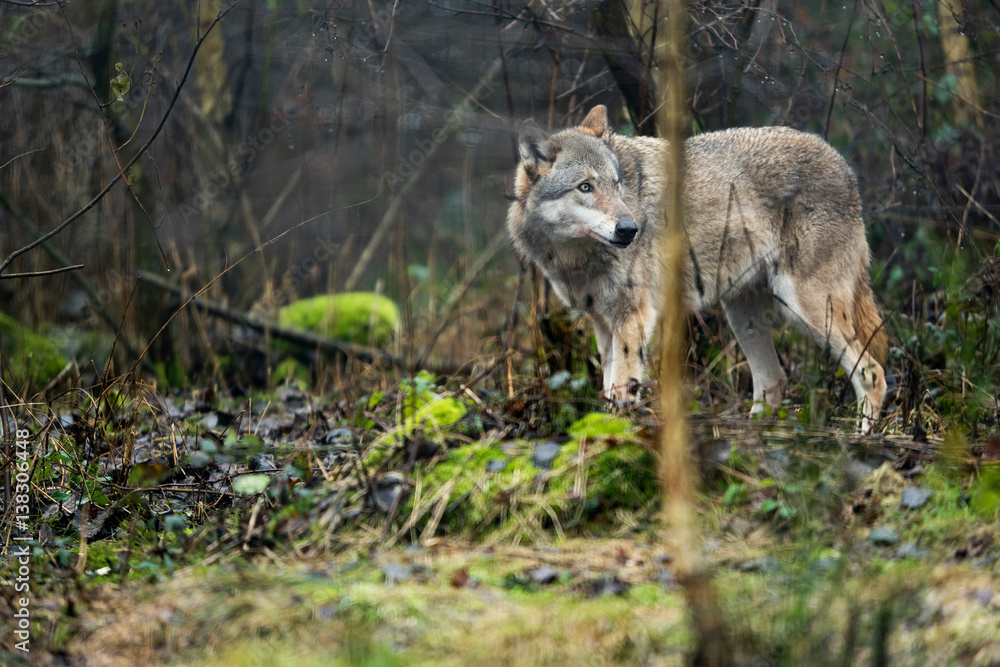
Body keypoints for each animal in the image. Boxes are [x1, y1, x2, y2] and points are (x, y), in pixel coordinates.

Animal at [506, 105, 887, 432]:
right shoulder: (603, 322)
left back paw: (863, 437)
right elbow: (610, 387)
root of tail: (843, 164)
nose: (630, 229)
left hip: (807, 310)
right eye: (585, 187)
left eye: (617, 185)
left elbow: (622, 387)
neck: (574, 256)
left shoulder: (634, 317)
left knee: (873, 372)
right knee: (775, 380)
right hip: (743, 317)